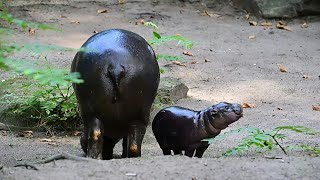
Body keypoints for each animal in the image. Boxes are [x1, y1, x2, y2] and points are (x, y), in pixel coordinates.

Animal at [71, 28, 159, 160]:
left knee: (95, 133)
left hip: (90, 110)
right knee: (134, 142)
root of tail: (115, 65)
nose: (82, 141)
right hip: (139, 114)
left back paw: (93, 158)